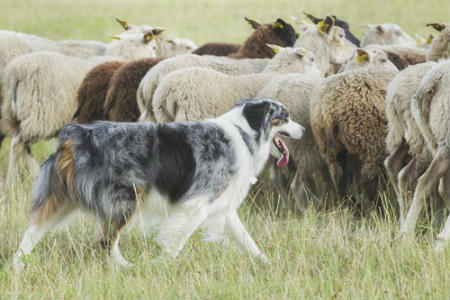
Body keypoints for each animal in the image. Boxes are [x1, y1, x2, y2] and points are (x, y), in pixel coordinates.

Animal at [12, 98, 304, 268]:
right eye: (285, 116)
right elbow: (177, 239)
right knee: (106, 240)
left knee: (32, 231)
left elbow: (246, 239)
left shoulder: (222, 204)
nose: (304, 130)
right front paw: (162, 264)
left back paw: (17, 264)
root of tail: (75, 135)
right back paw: (125, 267)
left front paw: (265, 262)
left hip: (63, 199)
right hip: (125, 199)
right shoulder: (197, 203)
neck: (244, 132)